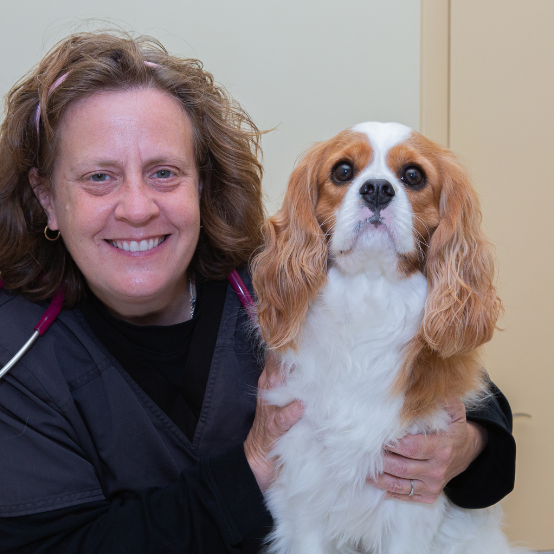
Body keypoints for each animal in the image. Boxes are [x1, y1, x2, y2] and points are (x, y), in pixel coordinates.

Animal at [250, 122, 516, 552]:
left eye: (413, 176)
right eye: (342, 171)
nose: (376, 188)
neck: (370, 299)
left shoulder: (411, 506)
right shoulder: (305, 498)